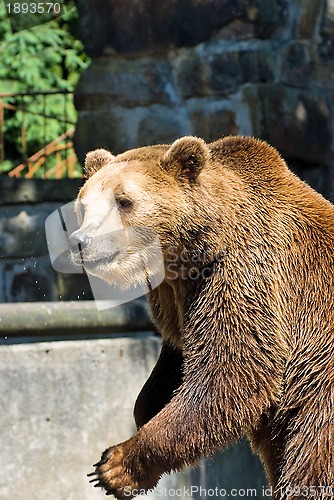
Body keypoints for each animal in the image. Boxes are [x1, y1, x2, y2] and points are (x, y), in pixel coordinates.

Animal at [68, 135, 334, 498]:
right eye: (83, 206)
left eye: (123, 201)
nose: (81, 241)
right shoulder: (178, 299)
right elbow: (178, 357)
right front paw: (145, 410)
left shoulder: (245, 276)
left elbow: (232, 372)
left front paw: (116, 464)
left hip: (319, 397)